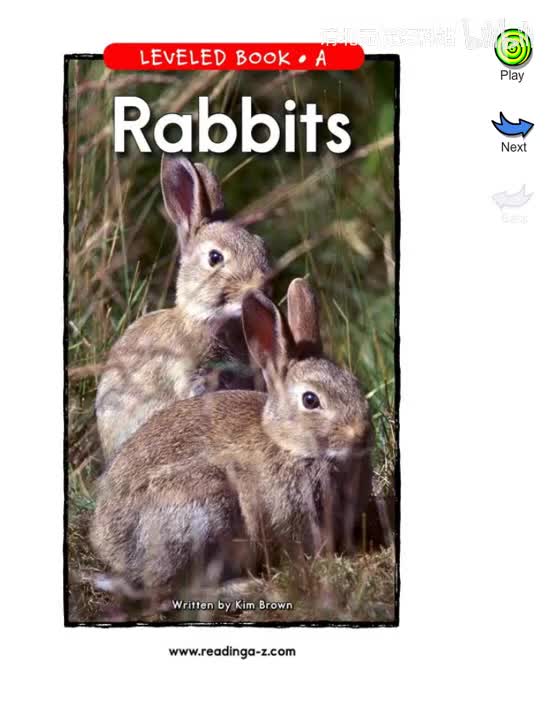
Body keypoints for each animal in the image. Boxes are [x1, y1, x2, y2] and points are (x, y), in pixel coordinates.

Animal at [90, 279, 376, 600]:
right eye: (310, 400)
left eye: (355, 383)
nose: (362, 434)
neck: (288, 444)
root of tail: (109, 547)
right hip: (205, 510)